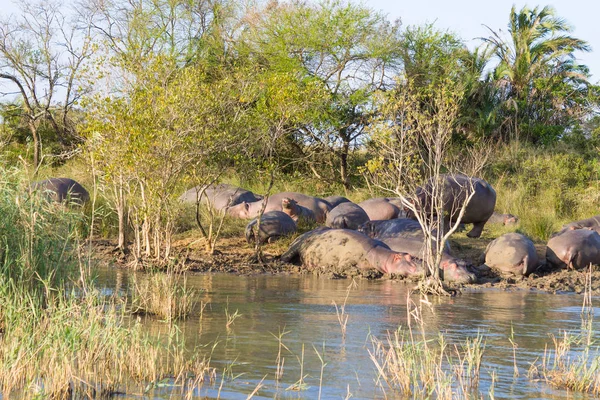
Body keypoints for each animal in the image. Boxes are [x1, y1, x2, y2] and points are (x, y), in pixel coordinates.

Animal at [280, 228, 424, 278]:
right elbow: (343, 267)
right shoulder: (347, 259)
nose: (425, 266)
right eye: (408, 257)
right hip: (296, 246)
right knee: (285, 256)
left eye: (416, 256)